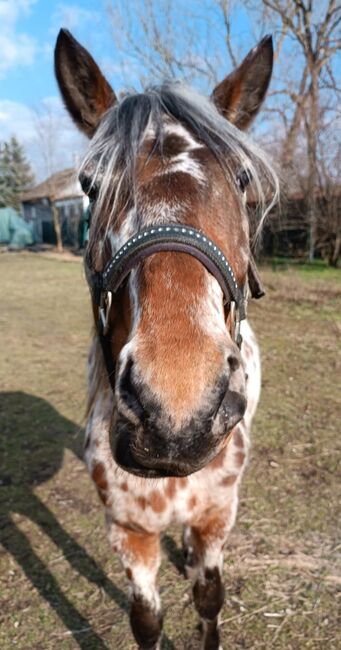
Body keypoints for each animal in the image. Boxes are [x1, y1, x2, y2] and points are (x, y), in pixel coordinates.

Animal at [53, 29, 276, 648]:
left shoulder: (217, 515)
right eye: (90, 184)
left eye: (241, 179)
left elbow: (208, 598)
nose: (177, 408)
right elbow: (147, 620)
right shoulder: (128, 529)